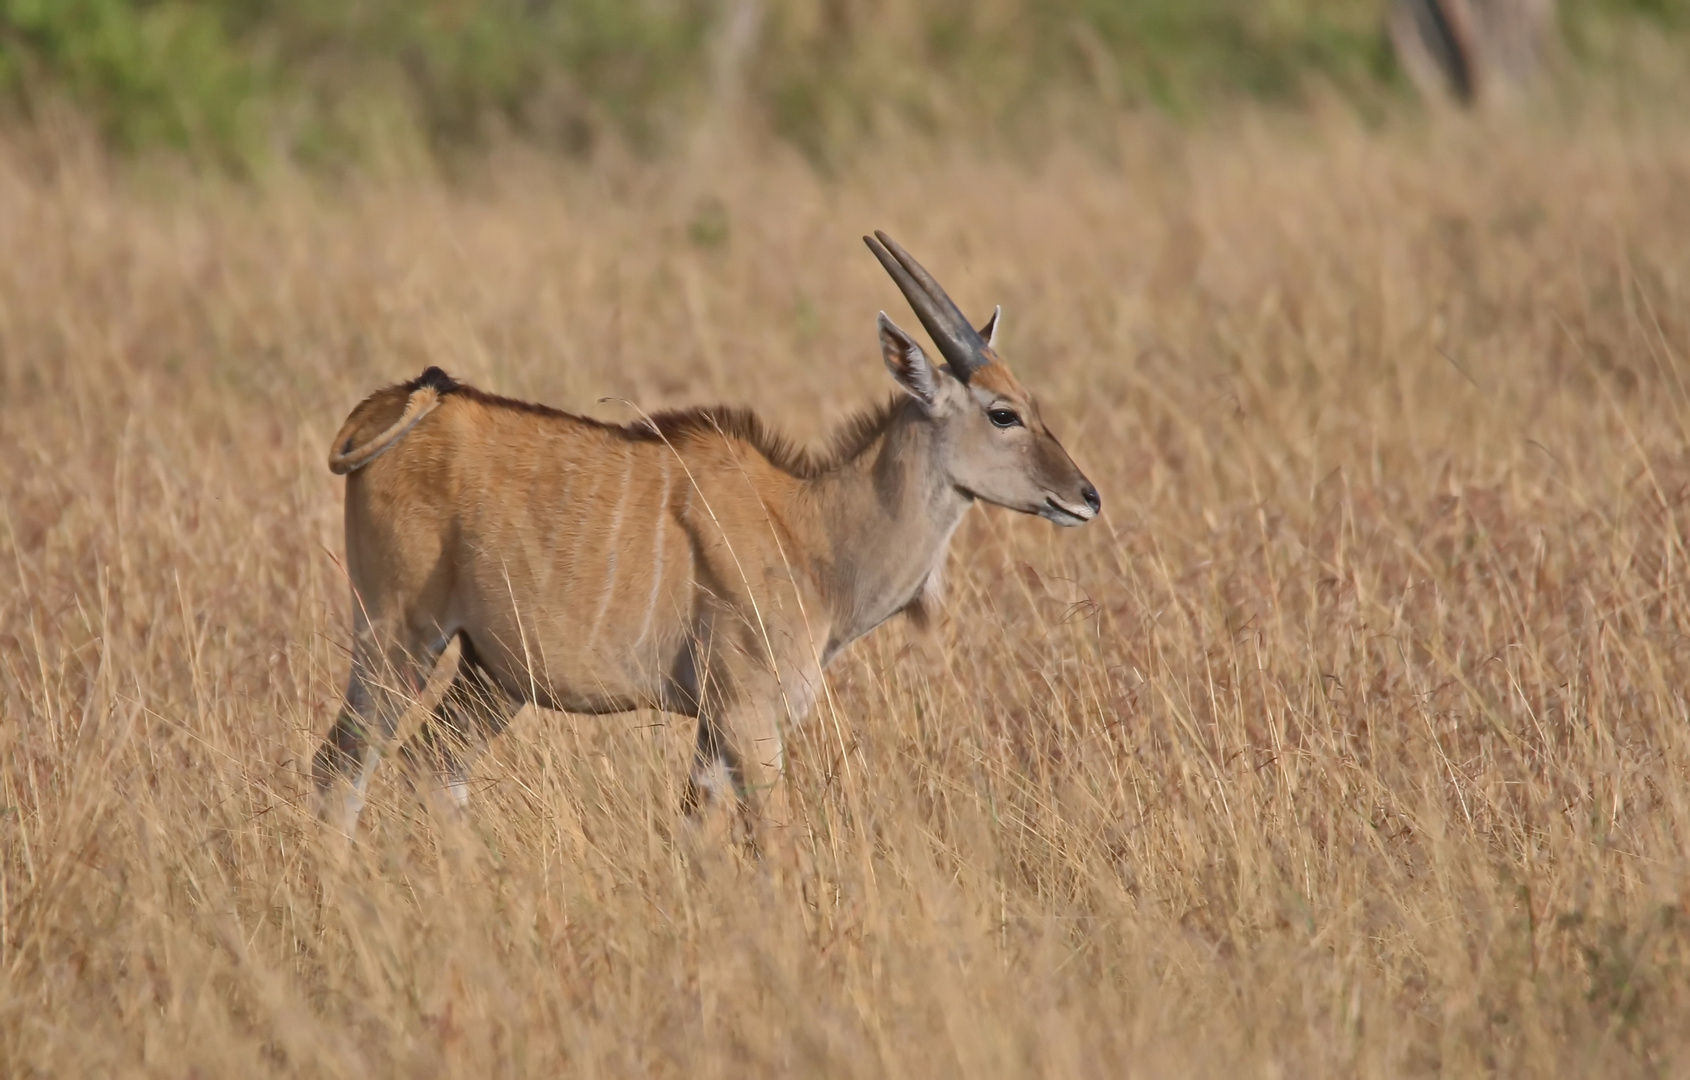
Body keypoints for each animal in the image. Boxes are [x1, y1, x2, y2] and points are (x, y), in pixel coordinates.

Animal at [310, 228, 1101, 838]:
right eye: (1003, 413)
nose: (1086, 497)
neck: (810, 530)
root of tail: (400, 400)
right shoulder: (749, 719)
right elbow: (771, 845)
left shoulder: (715, 732)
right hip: (398, 638)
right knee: (340, 770)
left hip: (492, 676)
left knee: (427, 769)